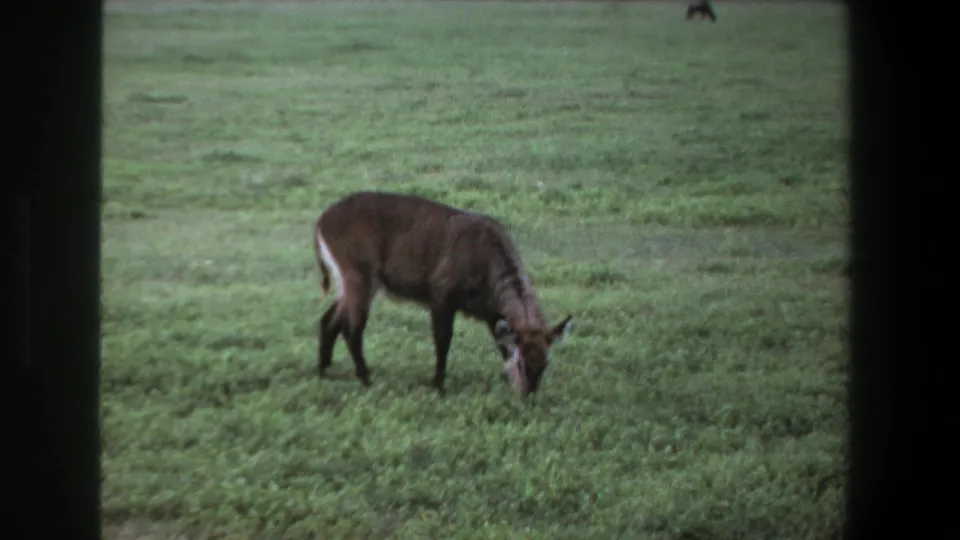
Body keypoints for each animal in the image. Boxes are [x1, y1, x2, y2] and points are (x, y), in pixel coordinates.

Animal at [312, 191, 573, 397]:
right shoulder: (441, 297)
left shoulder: (491, 314)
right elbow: (443, 340)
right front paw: (438, 385)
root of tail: (321, 221)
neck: (486, 258)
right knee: (352, 328)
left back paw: (323, 370)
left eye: (545, 363)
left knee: (329, 319)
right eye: (521, 364)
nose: (529, 394)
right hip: (360, 277)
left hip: (349, 282)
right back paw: (365, 378)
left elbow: (500, 344)